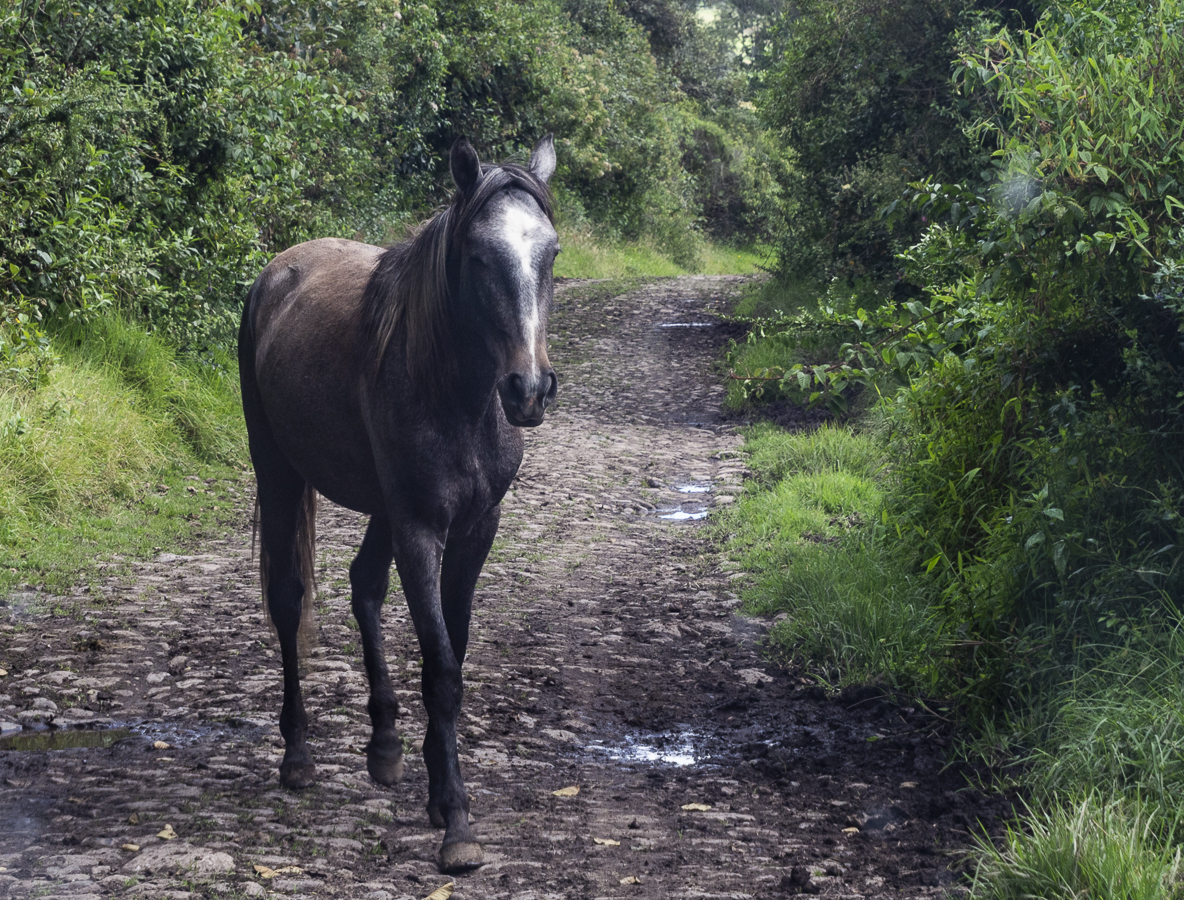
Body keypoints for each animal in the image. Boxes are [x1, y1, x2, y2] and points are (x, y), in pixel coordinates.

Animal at [237, 135, 559, 874]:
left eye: (551, 254)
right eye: (479, 256)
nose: (528, 389)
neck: (457, 394)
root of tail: (275, 274)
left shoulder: (476, 531)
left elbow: (453, 652)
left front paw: (440, 792)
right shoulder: (419, 531)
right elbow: (441, 669)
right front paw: (458, 823)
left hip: (380, 506)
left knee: (363, 587)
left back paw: (384, 743)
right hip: (280, 474)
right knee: (290, 599)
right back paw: (298, 754)